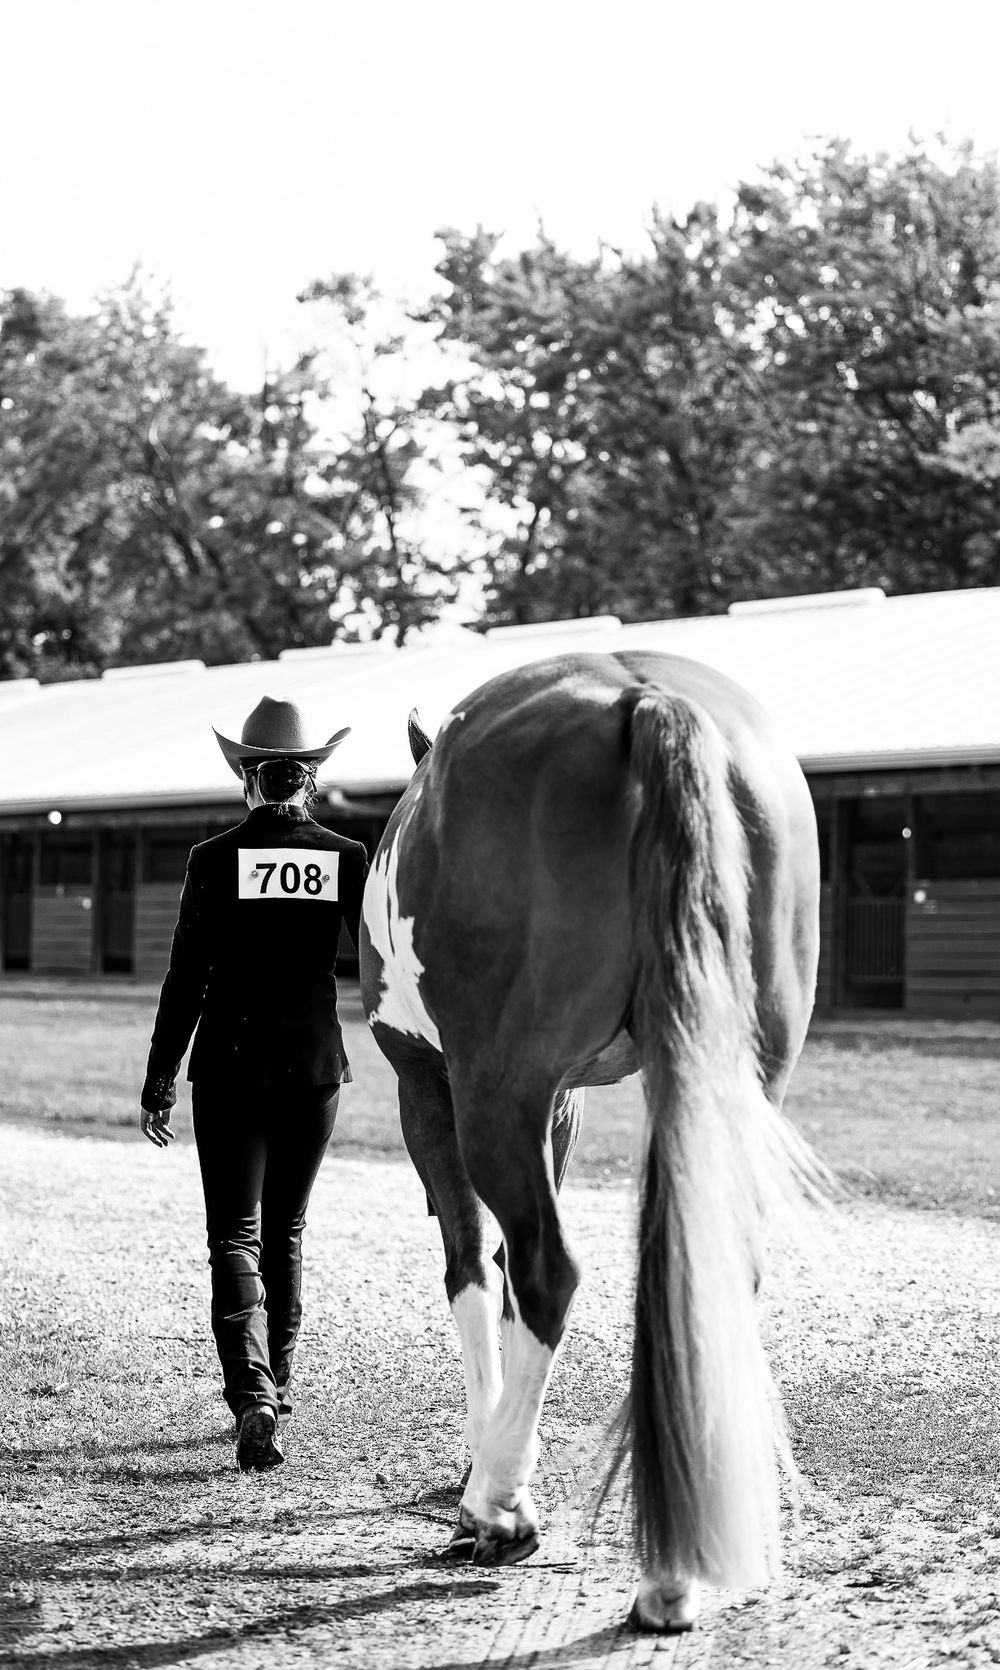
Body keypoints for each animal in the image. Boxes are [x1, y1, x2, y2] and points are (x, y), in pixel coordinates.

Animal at [358, 648, 823, 1632]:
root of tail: (649, 699)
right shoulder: (562, 1107)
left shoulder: (434, 1091)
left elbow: (474, 1268)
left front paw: (488, 1471)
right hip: (728, 1077)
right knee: (705, 1275)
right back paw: (670, 1574)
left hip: (493, 1091)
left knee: (546, 1271)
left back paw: (496, 1510)